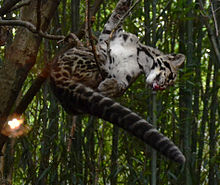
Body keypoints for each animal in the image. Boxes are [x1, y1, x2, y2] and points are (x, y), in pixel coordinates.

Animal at [49, 0, 186, 163]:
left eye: (169, 85)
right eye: (171, 77)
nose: (161, 88)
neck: (141, 58)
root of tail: (55, 78)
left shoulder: (127, 75)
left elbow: (121, 86)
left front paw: (110, 86)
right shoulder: (109, 37)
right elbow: (114, 18)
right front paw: (123, 4)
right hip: (82, 56)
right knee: (96, 56)